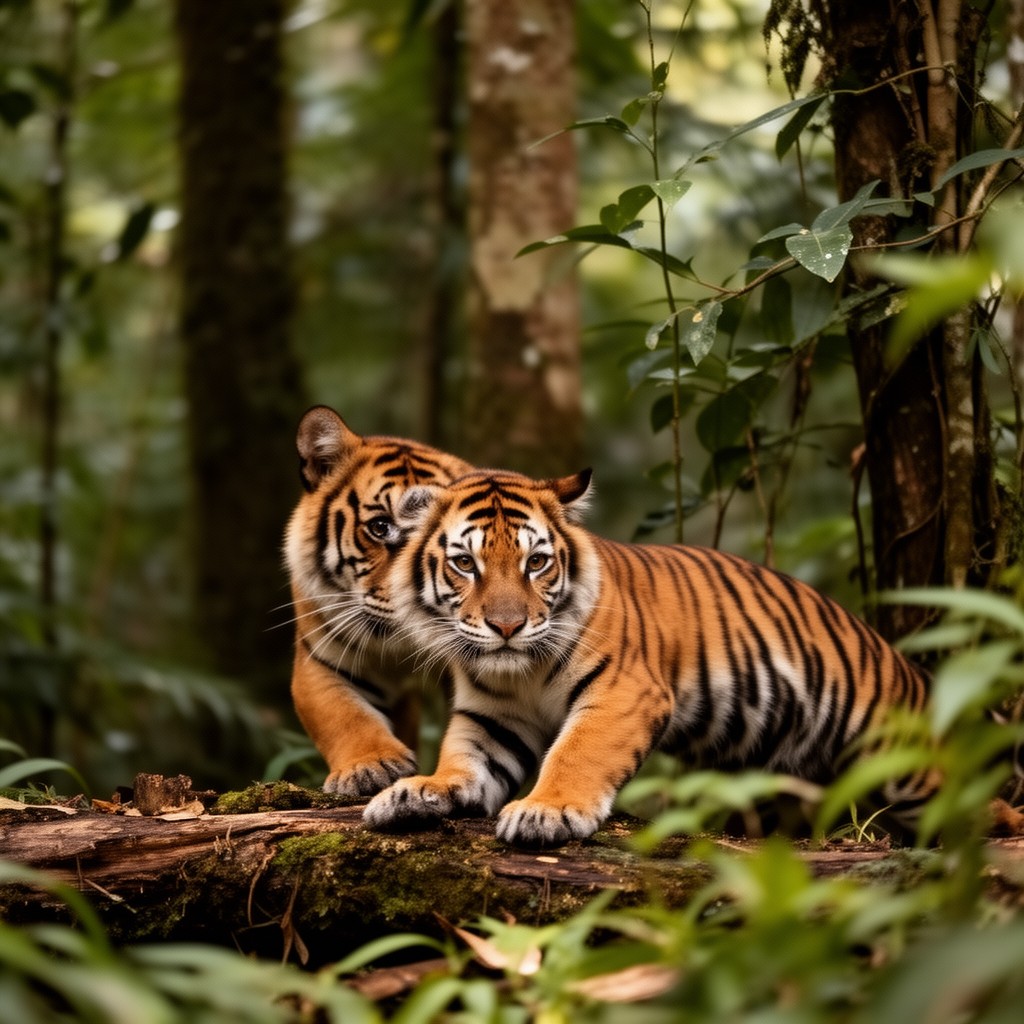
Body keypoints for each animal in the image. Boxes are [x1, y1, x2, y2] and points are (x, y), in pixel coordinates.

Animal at [362, 466, 940, 847]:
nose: (507, 627)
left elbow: (576, 753)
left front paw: (546, 812)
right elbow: (462, 760)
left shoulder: (623, 692)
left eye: (536, 563)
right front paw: (414, 792)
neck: (518, 672)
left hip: (902, 762)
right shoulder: (491, 716)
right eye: (465, 564)